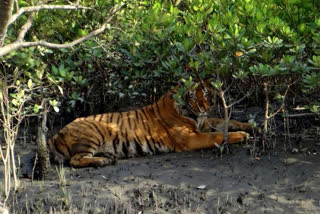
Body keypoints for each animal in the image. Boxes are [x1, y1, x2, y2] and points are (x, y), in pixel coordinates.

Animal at [48, 80, 252, 167]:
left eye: (207, 94)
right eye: (194, 96)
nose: (205, 107)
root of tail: (55, 135)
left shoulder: (204, 123)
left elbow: (226, 121)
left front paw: (249, 126)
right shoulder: (191, 138)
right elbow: (216, 135)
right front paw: (242, 136)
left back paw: (107, 156)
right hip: (92, 134)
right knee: (75, 160)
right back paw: (102, 161)